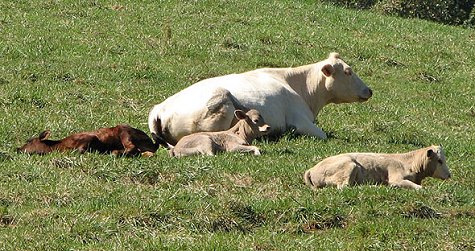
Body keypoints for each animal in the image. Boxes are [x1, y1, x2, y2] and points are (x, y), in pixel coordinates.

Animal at [149, 52, 372, 144]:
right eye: (348, 72)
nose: (369, 90)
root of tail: (160, 108)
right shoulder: (301, 120)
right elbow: (323, 135)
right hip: (221, 103)